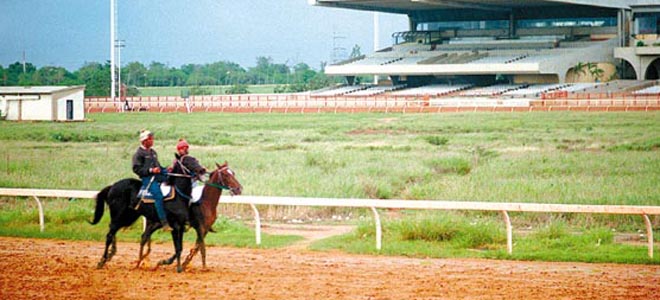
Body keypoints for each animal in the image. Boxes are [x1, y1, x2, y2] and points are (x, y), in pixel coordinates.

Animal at [89, 162, 241, 272]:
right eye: (226, 175)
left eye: (233, 173)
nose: (239, 189)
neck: (205, 200)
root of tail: (112, 186)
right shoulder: (198, 227)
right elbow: (197, 247)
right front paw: (182, 263)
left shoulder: (202, 229)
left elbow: (196, 247)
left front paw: (178, 262)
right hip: (123, 215)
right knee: (112, 232)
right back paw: (105, 259)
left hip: (138, 218)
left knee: (138, 235)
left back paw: (127, 258)